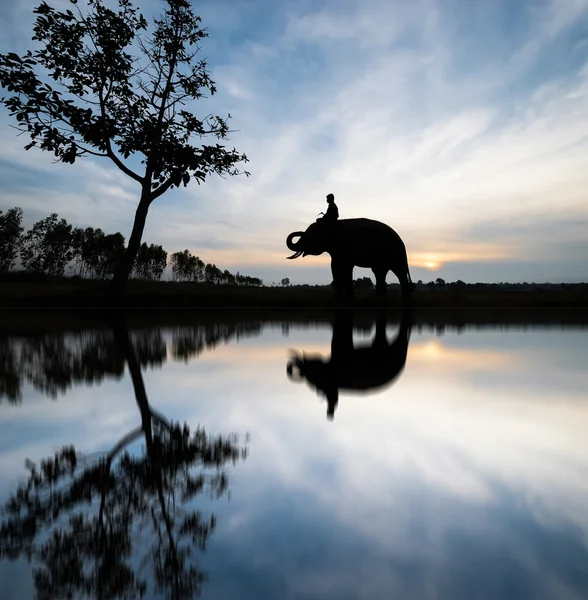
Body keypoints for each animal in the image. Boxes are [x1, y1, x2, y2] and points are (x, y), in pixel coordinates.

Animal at [288, 219, 416, 302]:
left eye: (310, 235)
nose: (301, 232)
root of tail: (402, 242)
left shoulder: (346, 248)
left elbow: (347, 267)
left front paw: (348, 298)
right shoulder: (337, 252)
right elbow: (335, 266)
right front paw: (340, 298)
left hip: (394, 254)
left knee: (399, 272)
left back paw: (403, 299)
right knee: (380, 272)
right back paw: (379, 298)